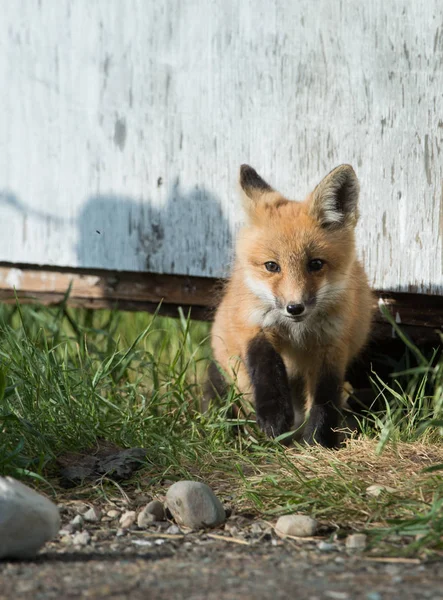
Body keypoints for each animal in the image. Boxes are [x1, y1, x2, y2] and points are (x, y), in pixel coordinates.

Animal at [208, 163, 374, 446]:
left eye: (316, 264)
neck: (297, 330)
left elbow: (324, 397)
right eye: (271, 266)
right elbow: (266, 368)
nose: (295, 308)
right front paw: (274, 419)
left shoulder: (332, 343)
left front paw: (319, 440)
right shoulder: (253, 325)